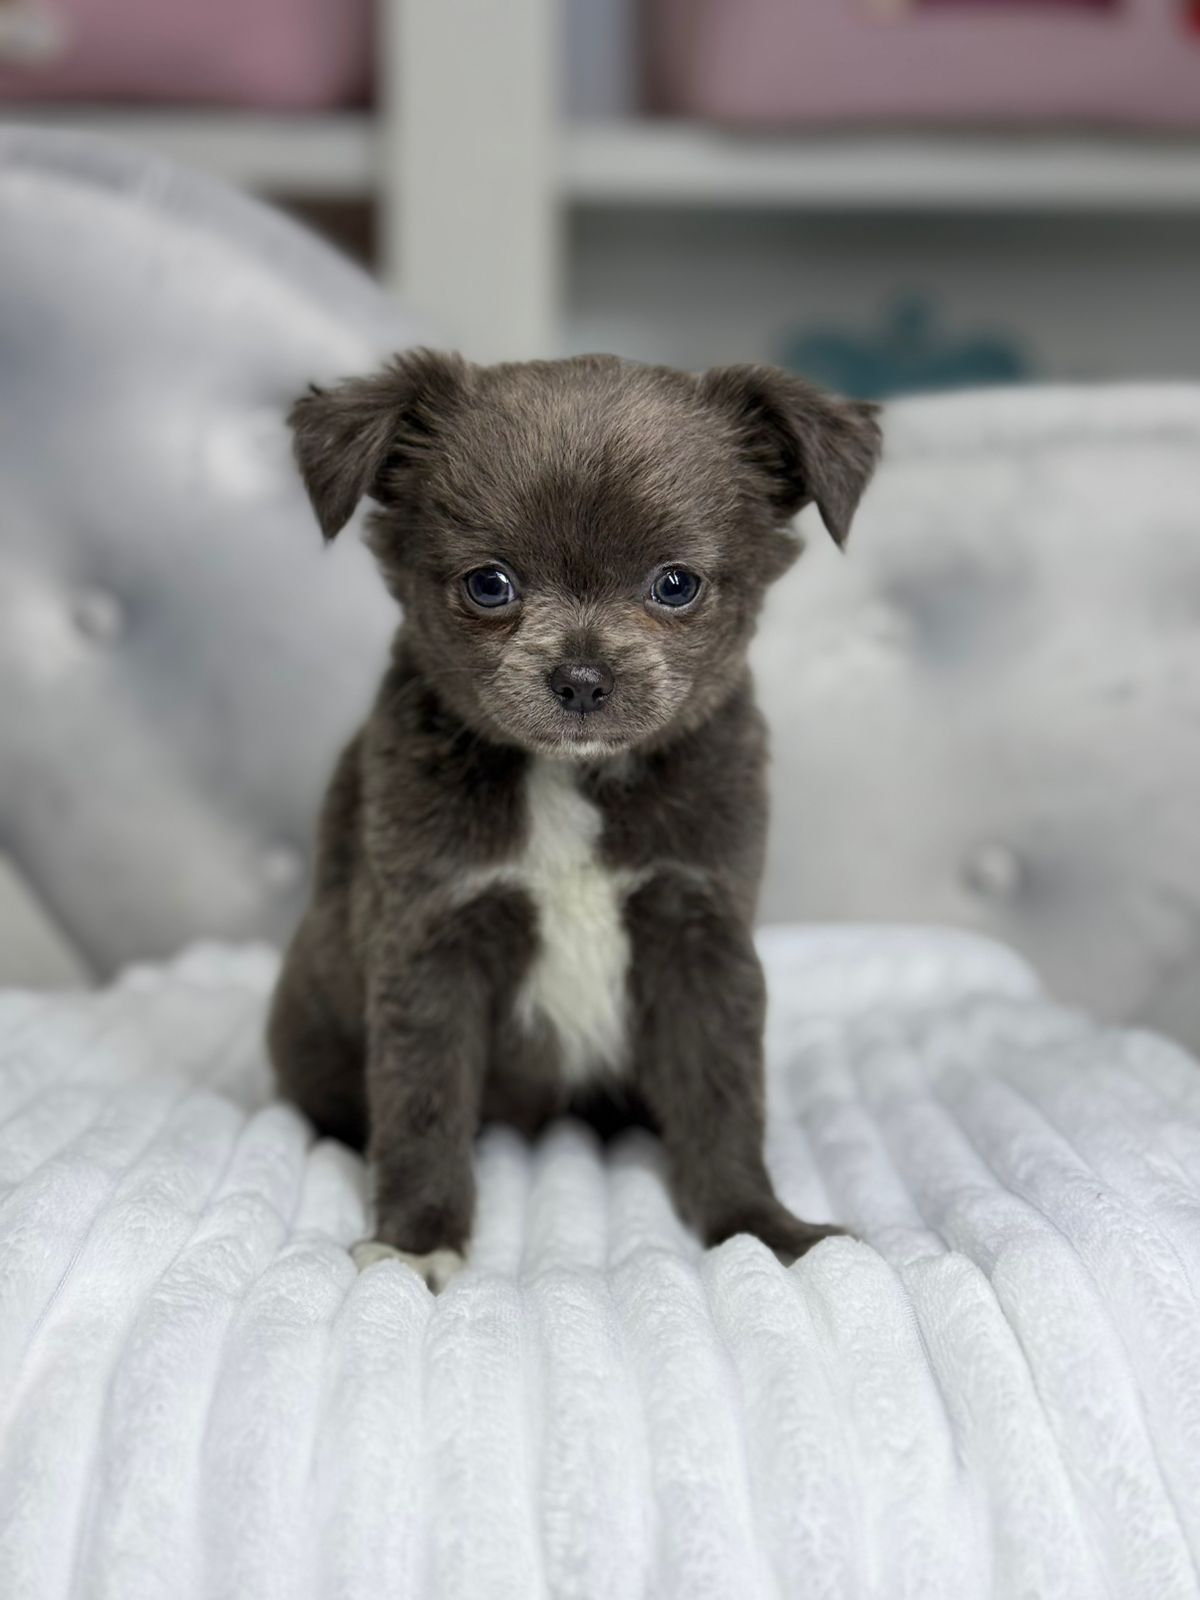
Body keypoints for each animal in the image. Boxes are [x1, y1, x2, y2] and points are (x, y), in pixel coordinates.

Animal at [268, 350, 881, 1289]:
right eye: (490, 585)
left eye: (675, 585)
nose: (583, 678)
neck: (572, 777)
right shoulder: (432, 941)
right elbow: (422, 1101)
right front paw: (417, 1239)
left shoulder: (699, 933)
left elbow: (723, 1091)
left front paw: (759, 1227)